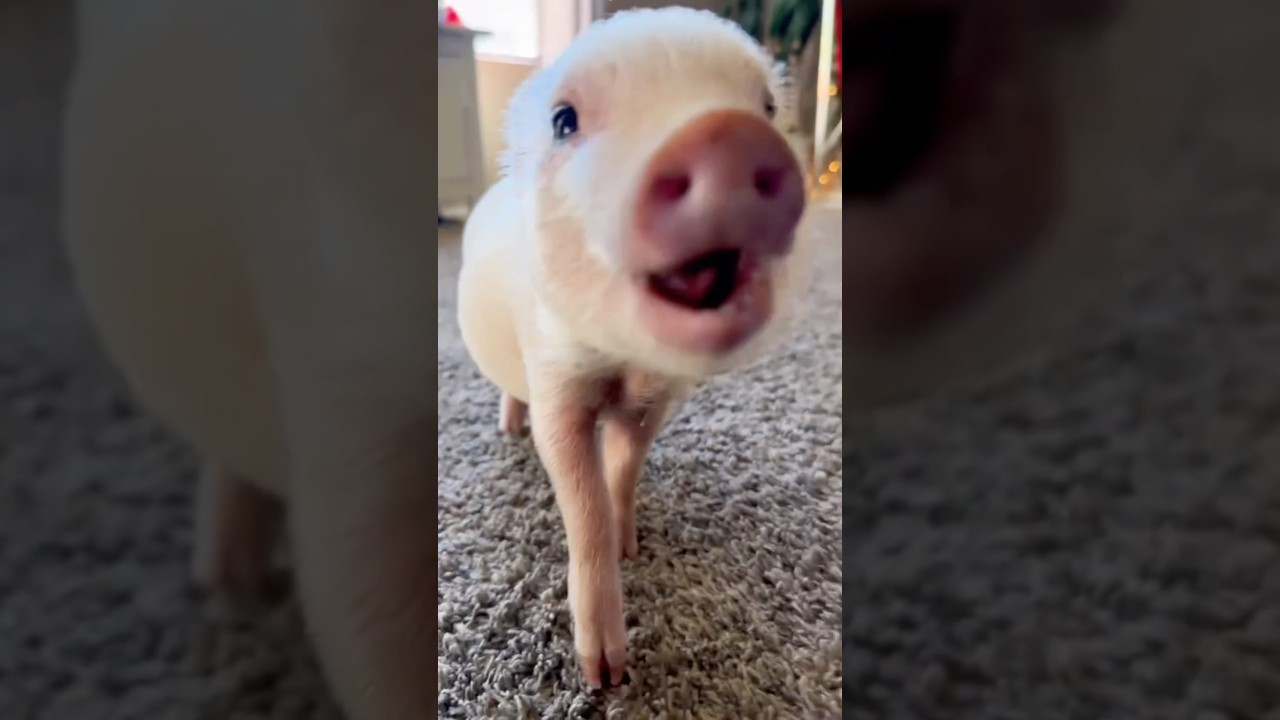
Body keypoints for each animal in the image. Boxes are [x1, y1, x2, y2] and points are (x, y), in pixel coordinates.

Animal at [456, 8, 812, 689]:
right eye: (563, 120)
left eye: (765, 106)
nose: (726, 135)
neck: (625, 368)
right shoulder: (556, 382)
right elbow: (580, 496)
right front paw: (605, 676)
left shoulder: (655, 402)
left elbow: (622, 469)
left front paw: (633, 547)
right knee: (508, 391)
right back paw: (508, 431)